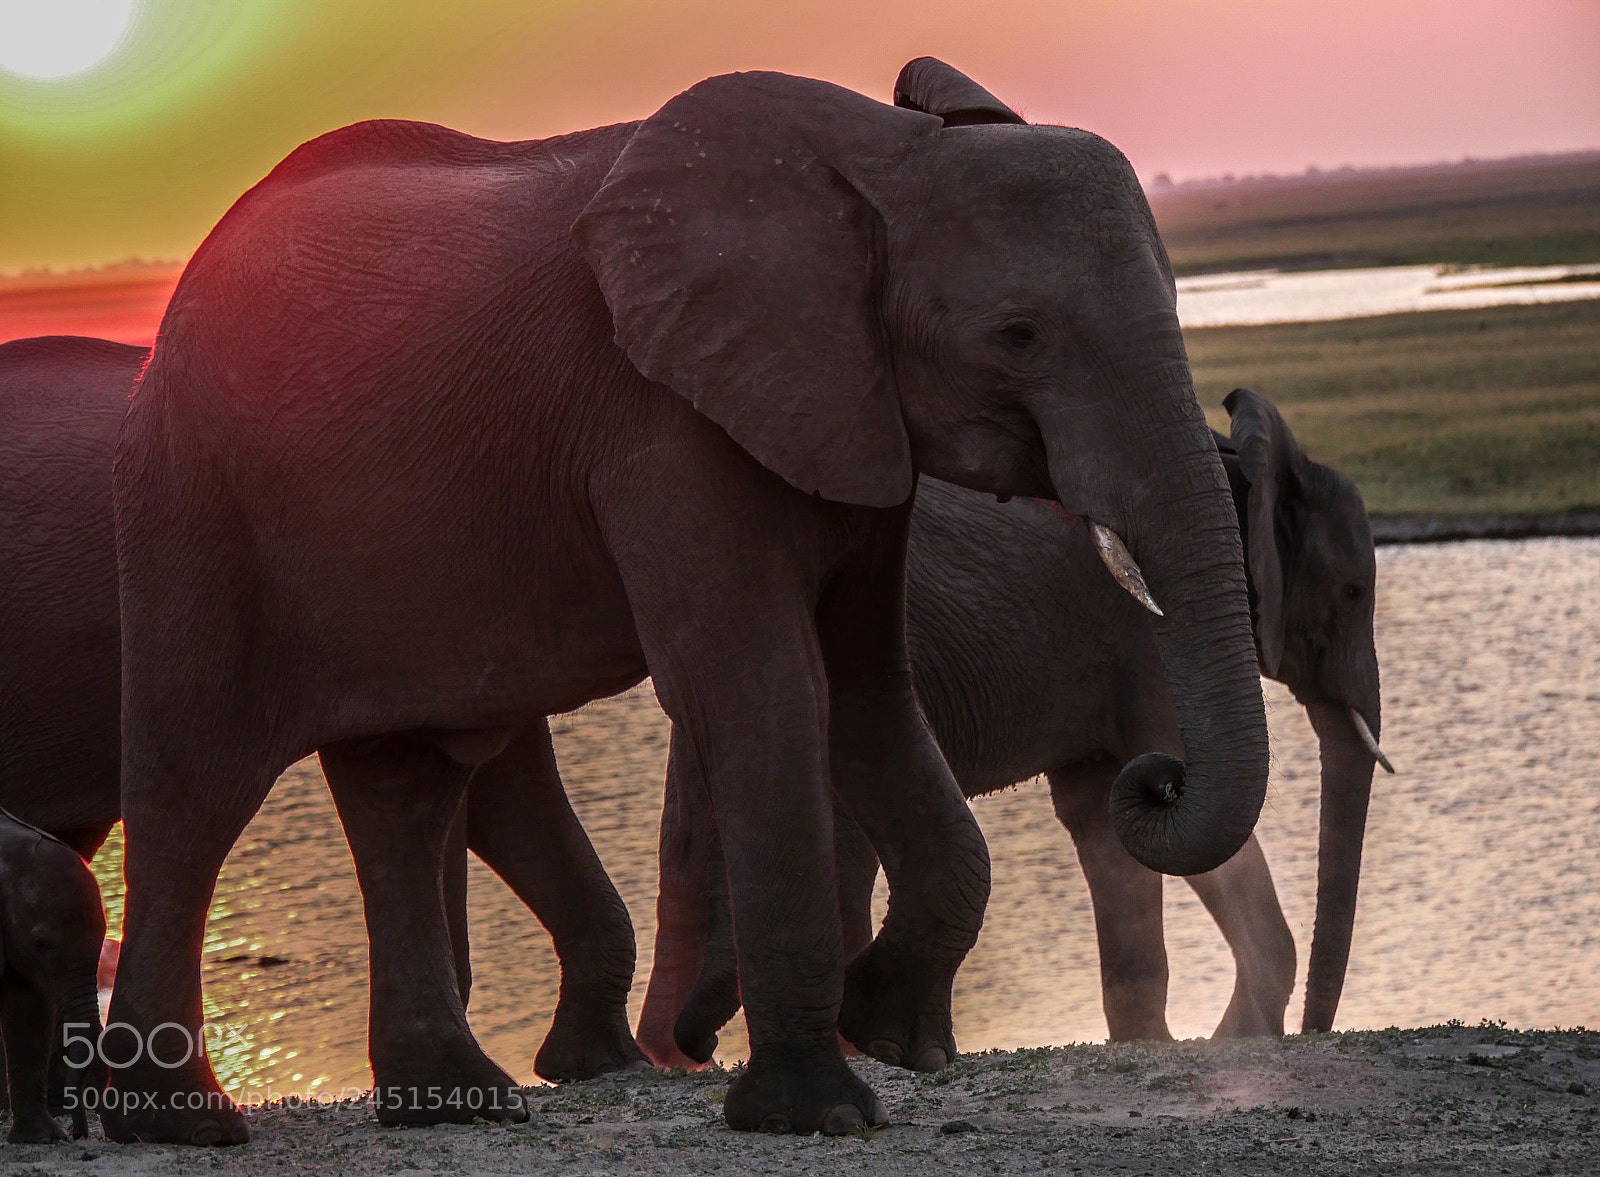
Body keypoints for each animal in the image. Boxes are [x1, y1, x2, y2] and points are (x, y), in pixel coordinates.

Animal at [105, 58, 1268, 1144]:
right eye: (1019, 334)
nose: (1153, 778)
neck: (883, 160)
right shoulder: (661, 419)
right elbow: (757, 686)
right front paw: (817, 1113)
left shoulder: (848, 412)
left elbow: (867, 689)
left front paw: (893, 1033)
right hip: (198, 503)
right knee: (198, 782)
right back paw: (183, 1124)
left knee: (407, 781)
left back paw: (455, 1103)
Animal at [636, 387, 1389, 1067]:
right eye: (1353, 592)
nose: (1317, 1031)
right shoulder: (1148, 640)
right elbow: (1180, 796)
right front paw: (1231, 1038)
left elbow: (1102, 818)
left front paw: (1151, 1042)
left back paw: (667, 1057)